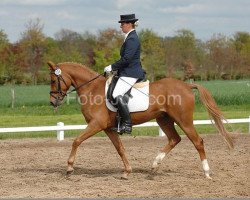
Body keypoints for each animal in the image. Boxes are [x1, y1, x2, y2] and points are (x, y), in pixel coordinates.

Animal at [47, 61, 233, 180]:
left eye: (53, 80)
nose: (52, 102)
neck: (92, 89)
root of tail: (187, 86)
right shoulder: (107, 128)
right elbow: (120, 149)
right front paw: (127, 172)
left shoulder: (96, 124)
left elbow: (76, 141)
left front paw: (69, 168)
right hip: (164, 120)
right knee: (174, 139)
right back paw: (154, 166)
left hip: (184, 121)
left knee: (197, 142)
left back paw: (207, 173)